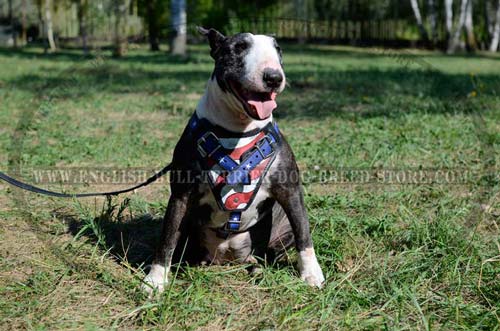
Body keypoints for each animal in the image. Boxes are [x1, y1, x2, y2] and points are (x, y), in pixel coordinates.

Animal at [143, 27, 326, 294]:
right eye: (239, 47)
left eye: (278, 49)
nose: (274, 77)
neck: (238, 128)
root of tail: (228, 256)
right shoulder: (181, 195)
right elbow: (167, 239)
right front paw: (155, 279)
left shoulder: (290, 190)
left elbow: (304, 233)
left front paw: (312, 274)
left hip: (279, 229)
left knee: (274, 249)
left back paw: (258, 267)